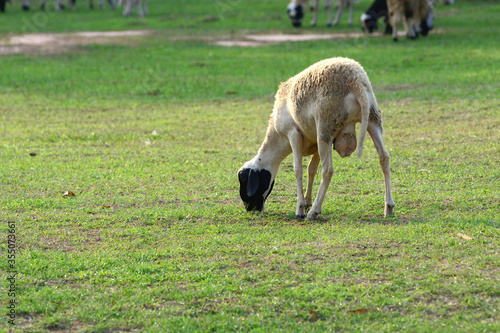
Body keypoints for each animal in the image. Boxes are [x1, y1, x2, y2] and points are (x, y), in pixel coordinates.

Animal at [238, 56, 394, 219]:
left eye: (243, 179)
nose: (249, 208)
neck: (278, 136)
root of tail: (356, 83)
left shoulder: (293, 133)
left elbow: (298, 169)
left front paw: (300, 208)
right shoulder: (316, 143)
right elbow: (311, 169)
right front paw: (307, 201)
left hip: (325, 126)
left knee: (328, 170)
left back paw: (314, 211)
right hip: (372, 119)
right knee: (384, 158)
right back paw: (388, 207)